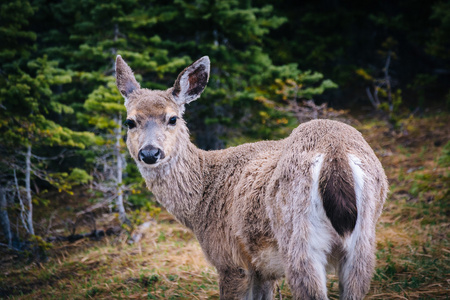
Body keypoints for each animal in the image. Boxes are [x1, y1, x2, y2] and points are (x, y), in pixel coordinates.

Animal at [115, 54, 386, 300]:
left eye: (172, 118)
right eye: (130, 121)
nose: (150, 153)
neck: (201, 200)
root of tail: (334, 152)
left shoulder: (231, 260)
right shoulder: (262, 270)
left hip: (299, 237)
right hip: (363, 239)